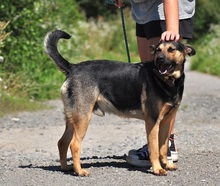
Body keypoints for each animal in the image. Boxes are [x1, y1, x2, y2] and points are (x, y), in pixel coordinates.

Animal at [44, 29, 196, 177]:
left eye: (171, 49)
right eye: (158, 50)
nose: (159, 59)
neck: (168, 81)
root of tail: (73, 67)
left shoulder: (165, 122)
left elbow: (163, 148)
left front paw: (167, 164)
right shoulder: (153, 122)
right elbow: (154, 149)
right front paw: (157, 169)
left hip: (73, 118)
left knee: (62, 142)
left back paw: (66, 168)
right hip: (83, 117)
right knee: (74, 144)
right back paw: (80, 171)